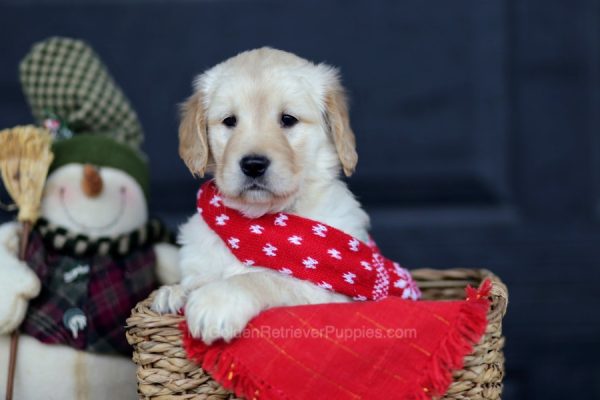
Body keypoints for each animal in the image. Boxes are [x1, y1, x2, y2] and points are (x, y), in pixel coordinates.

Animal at [154, 48, 370, 344]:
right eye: (229, 121)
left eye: (288, 119)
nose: (253, 165)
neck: (258, 221)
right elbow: (198, 279)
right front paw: (174, 291)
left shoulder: (329, 294)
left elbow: (264, 278)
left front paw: (216, 300)